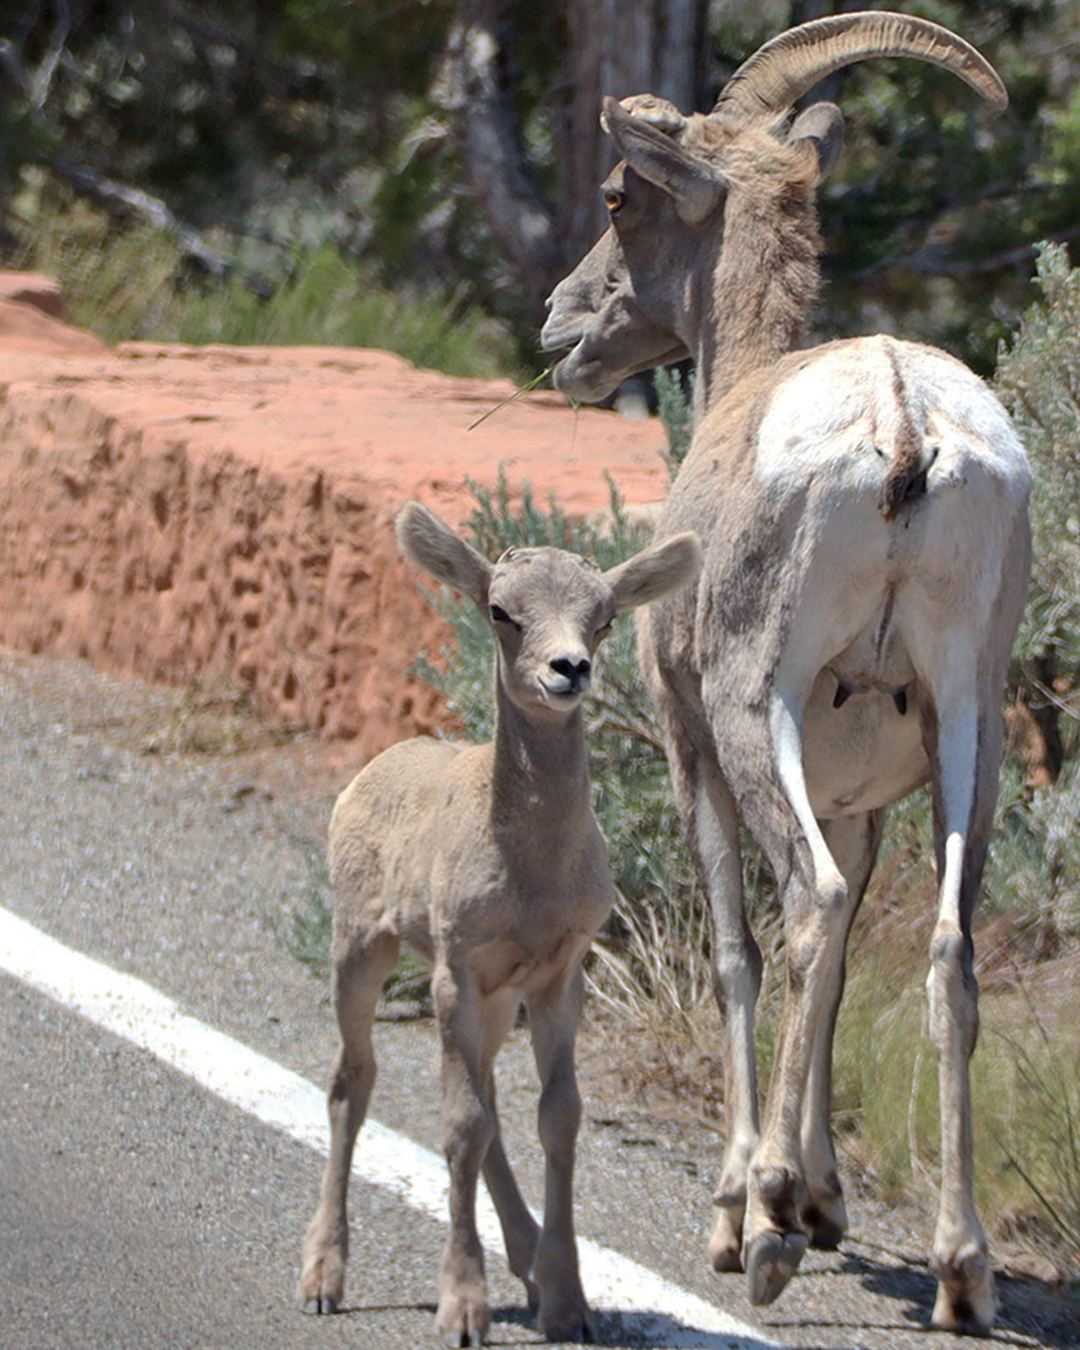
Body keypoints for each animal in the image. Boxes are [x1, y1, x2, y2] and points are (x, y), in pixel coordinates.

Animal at [298, 500, 700, 1345]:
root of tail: (372, 771)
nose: (568, 670)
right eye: (500, 611)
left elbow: (554, 1118)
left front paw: (569, 1302)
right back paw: (322, 1277)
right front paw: (463, 1309)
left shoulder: (556, 976)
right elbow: (458, 1125)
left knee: (481, 1099)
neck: (530, 876)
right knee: (354, 1083)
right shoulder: (455, 971)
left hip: (492, 1000)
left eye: (604, 618)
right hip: (363, 949)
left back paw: (526, 1261)